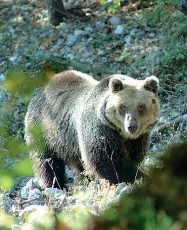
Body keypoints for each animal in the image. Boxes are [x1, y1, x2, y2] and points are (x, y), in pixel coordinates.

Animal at [24, 70, 159, 189]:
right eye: (123, 106)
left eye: (141, 106)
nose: (131, 126)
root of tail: (39, 92)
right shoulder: (99, 128)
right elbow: (106, 160)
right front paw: (133, 176)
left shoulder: (139, 138)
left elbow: (135, 155)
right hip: (44, 131)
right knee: (46, 161)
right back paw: (55, 184)